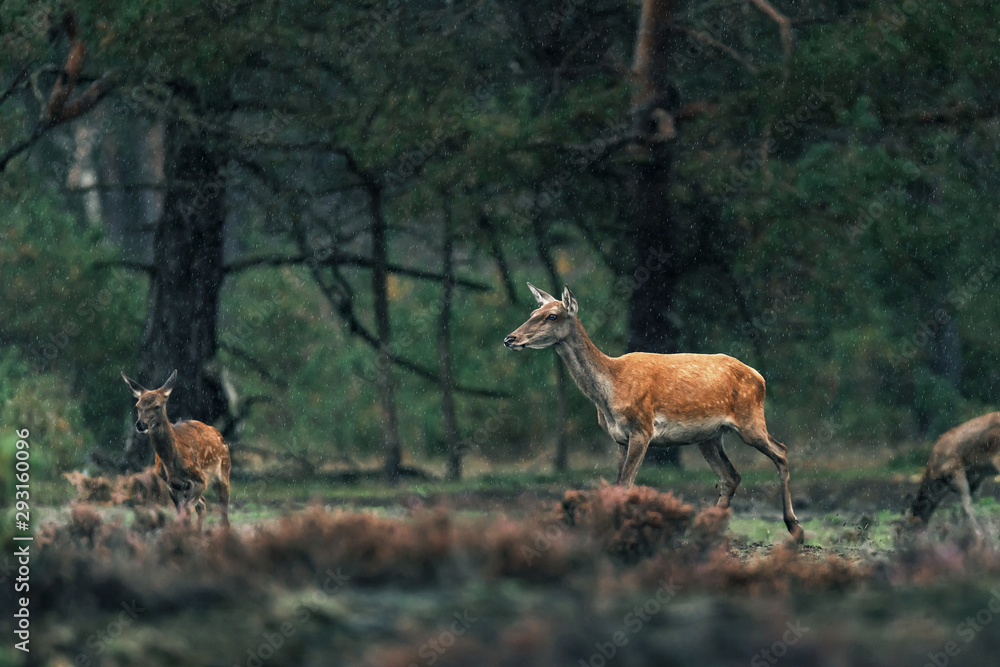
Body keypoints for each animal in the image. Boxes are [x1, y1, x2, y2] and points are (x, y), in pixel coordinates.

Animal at [121, 370, 231, 530]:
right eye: (137, 405)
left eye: (157, 406)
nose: (140, 424)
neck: (171, 463)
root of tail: (218, 433)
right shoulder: (172, 485)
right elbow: (182, 513)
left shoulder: (200, 479)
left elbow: (185, 511)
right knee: (202, 504)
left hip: (224, 471)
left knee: (223, 513)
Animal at [504, 283, 804, 543]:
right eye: (532, 314)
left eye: (552, 316)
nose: (510, 338)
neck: (610, 391)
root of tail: (760, 377)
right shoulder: (619, 438)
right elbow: (616, 485)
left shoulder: (643, 428)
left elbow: (626, 484)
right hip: (709, 436)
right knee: (731, 476)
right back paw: (704, 533)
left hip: (750, 420)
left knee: (781, 451)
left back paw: (795, 528)